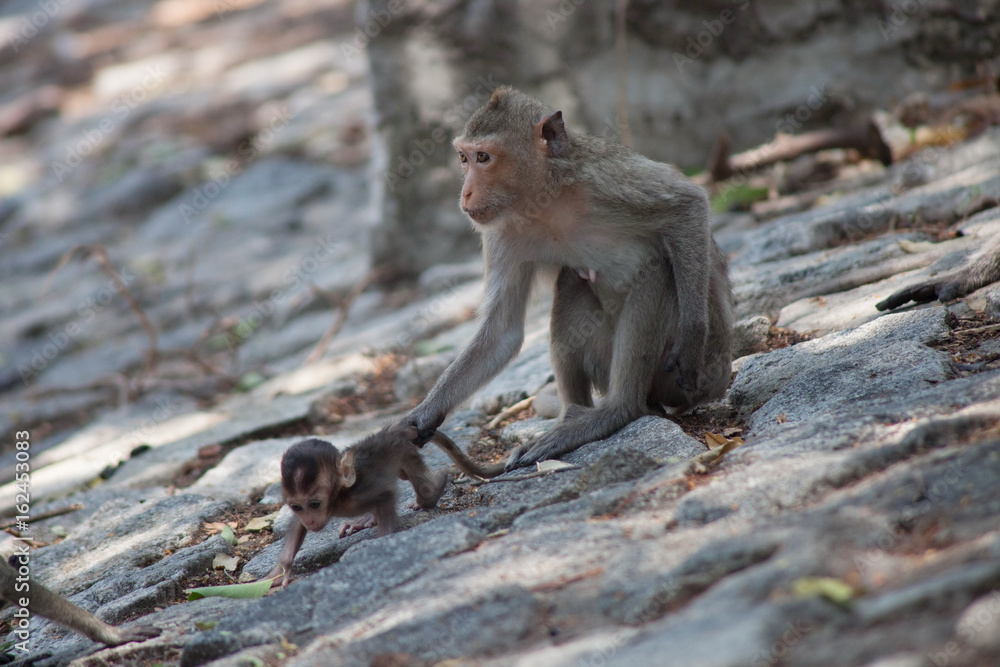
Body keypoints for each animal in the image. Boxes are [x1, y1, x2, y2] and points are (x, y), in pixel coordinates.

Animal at [266, 426, 504, 588]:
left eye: (315, 504)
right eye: (297, 507)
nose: (311, 520)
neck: (337, 499)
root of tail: (395, 430)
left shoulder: (357, 496)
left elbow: (386, 497)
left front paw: (381, 546)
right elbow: (297, 526)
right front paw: (279, 572)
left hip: (404, 450)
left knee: (423, 487)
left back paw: (434, 489)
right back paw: (368, 520)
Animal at [400, 85, 736, 470]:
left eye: (483, 157)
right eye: (463, 159)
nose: (465, 193)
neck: (546, 197)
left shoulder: (604, 177)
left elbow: (688, 204)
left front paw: (692, 336)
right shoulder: (503, 232)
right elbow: (502, 331)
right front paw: (425, 414)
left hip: (695, 378)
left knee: (658, 272)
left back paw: (619, 410)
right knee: (572, 281)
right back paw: (574, 418)